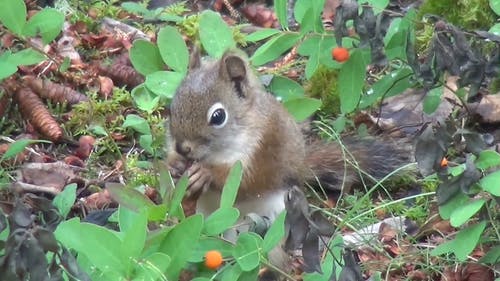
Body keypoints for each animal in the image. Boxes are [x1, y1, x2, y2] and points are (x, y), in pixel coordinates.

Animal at [166, 48, 408, 221]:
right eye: (173, 103)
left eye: (218, 116)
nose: (183, 148)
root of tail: (301, 165)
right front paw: (175, 163)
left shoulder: (262, 149)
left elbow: (245, 180)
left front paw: (205, 173)